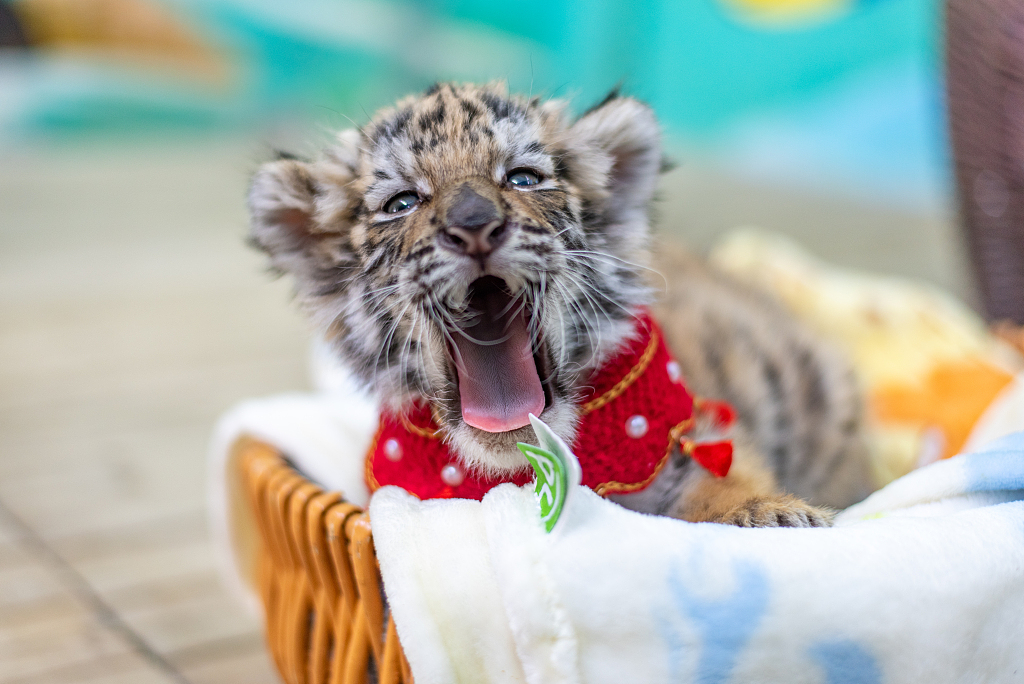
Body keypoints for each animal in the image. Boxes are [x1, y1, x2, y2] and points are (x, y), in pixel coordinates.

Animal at [247, 81, 873, 527]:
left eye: (523, 178)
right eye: (401, 202)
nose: (474, 225)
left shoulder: (702, 433)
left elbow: (725, 476)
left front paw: (766, 513)